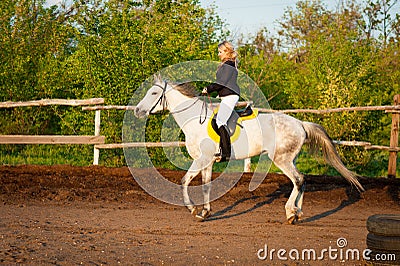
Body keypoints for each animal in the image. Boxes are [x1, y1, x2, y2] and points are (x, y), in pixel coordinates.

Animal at [134, 76, 366, 223]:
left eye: (153, 92)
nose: (137, 111)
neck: (194, 121)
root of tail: (300, 124)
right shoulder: (208, 161)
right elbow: (206, 186)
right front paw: (205, 212)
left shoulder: (201, 159)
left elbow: (184, 181)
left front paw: (192, 209)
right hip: (290, 159)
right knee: (301, 181)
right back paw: (297, 213)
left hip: (281, 160)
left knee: (298, 180)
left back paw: (291, 213)